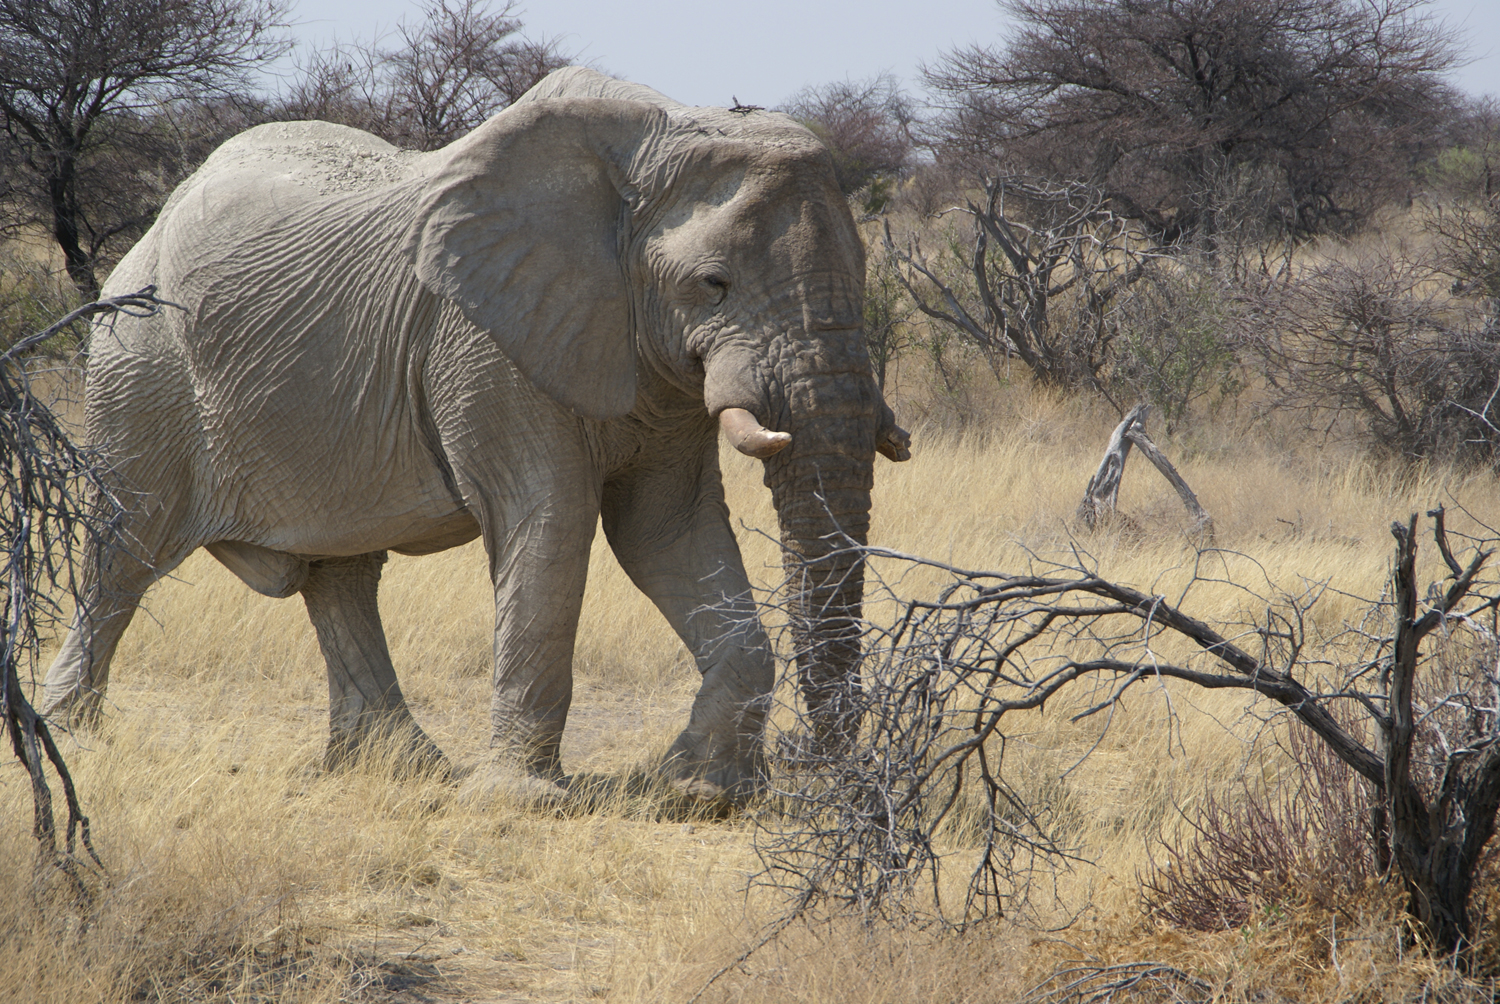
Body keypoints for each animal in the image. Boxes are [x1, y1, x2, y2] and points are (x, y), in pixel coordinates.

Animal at [41, 66, 906, 804]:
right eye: (712, 284)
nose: (826, 772)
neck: (657, 133)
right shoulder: (486, 343)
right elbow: (551, 517)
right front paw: (523, 802)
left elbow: (666, 529)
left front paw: (701, 792)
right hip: (139, 367)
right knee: (125, 553)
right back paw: (70, 739)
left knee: (340, 574)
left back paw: (401, 768)